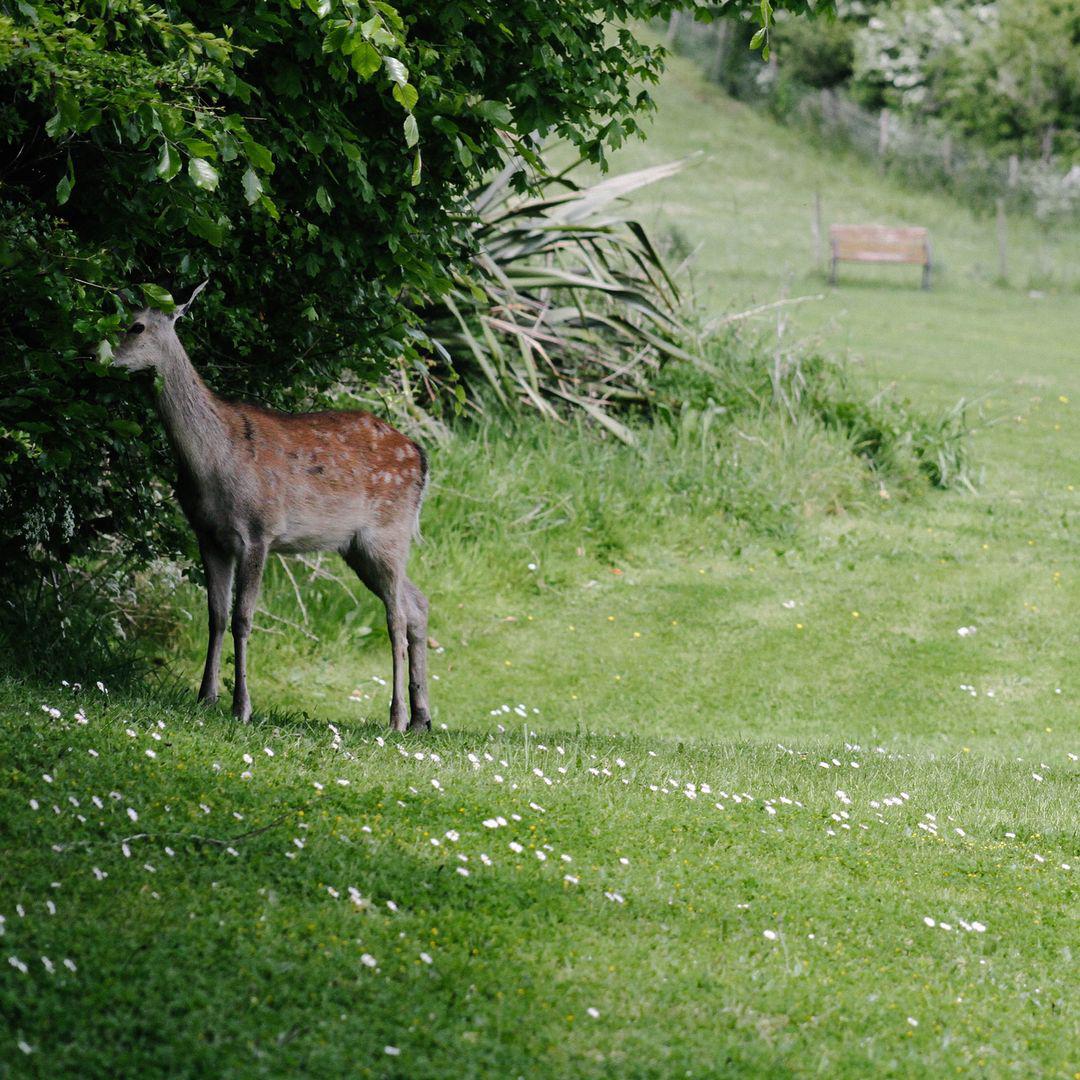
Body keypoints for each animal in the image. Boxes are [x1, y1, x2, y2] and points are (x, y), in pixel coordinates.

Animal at [112, 280, 432, 732]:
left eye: (137, 326)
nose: (100, 354)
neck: (212, 461)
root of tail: (420, 456)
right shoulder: (207, 534)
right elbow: (216, 614)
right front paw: (205, 697)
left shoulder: (258, 529)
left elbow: (243, 617)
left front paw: (242, 706)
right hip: (357, 547)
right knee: (416, 604)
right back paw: (422, 717)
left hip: (389, 531)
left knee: (397, 616)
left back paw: (398, 717)